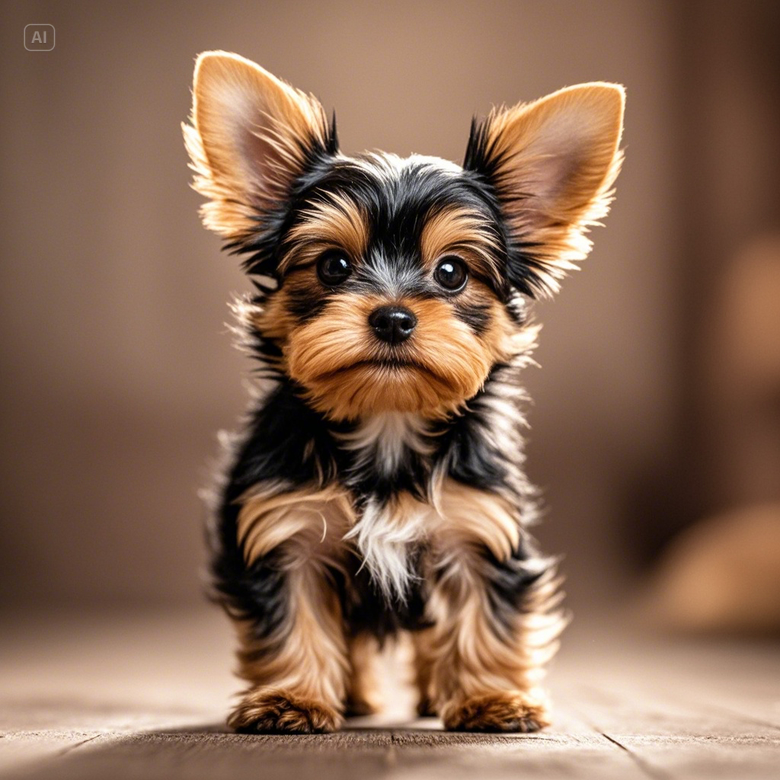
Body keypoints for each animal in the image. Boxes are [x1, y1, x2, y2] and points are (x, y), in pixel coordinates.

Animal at [184, 51, 628, 736]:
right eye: (333, 266)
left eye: (452, 272)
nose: (393, 316)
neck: (387, 418)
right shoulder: (285, 530)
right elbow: (292, 620)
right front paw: (292, 699)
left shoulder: (478, 527)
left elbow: (483, 617)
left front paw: (491, 698)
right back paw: (353, 696)